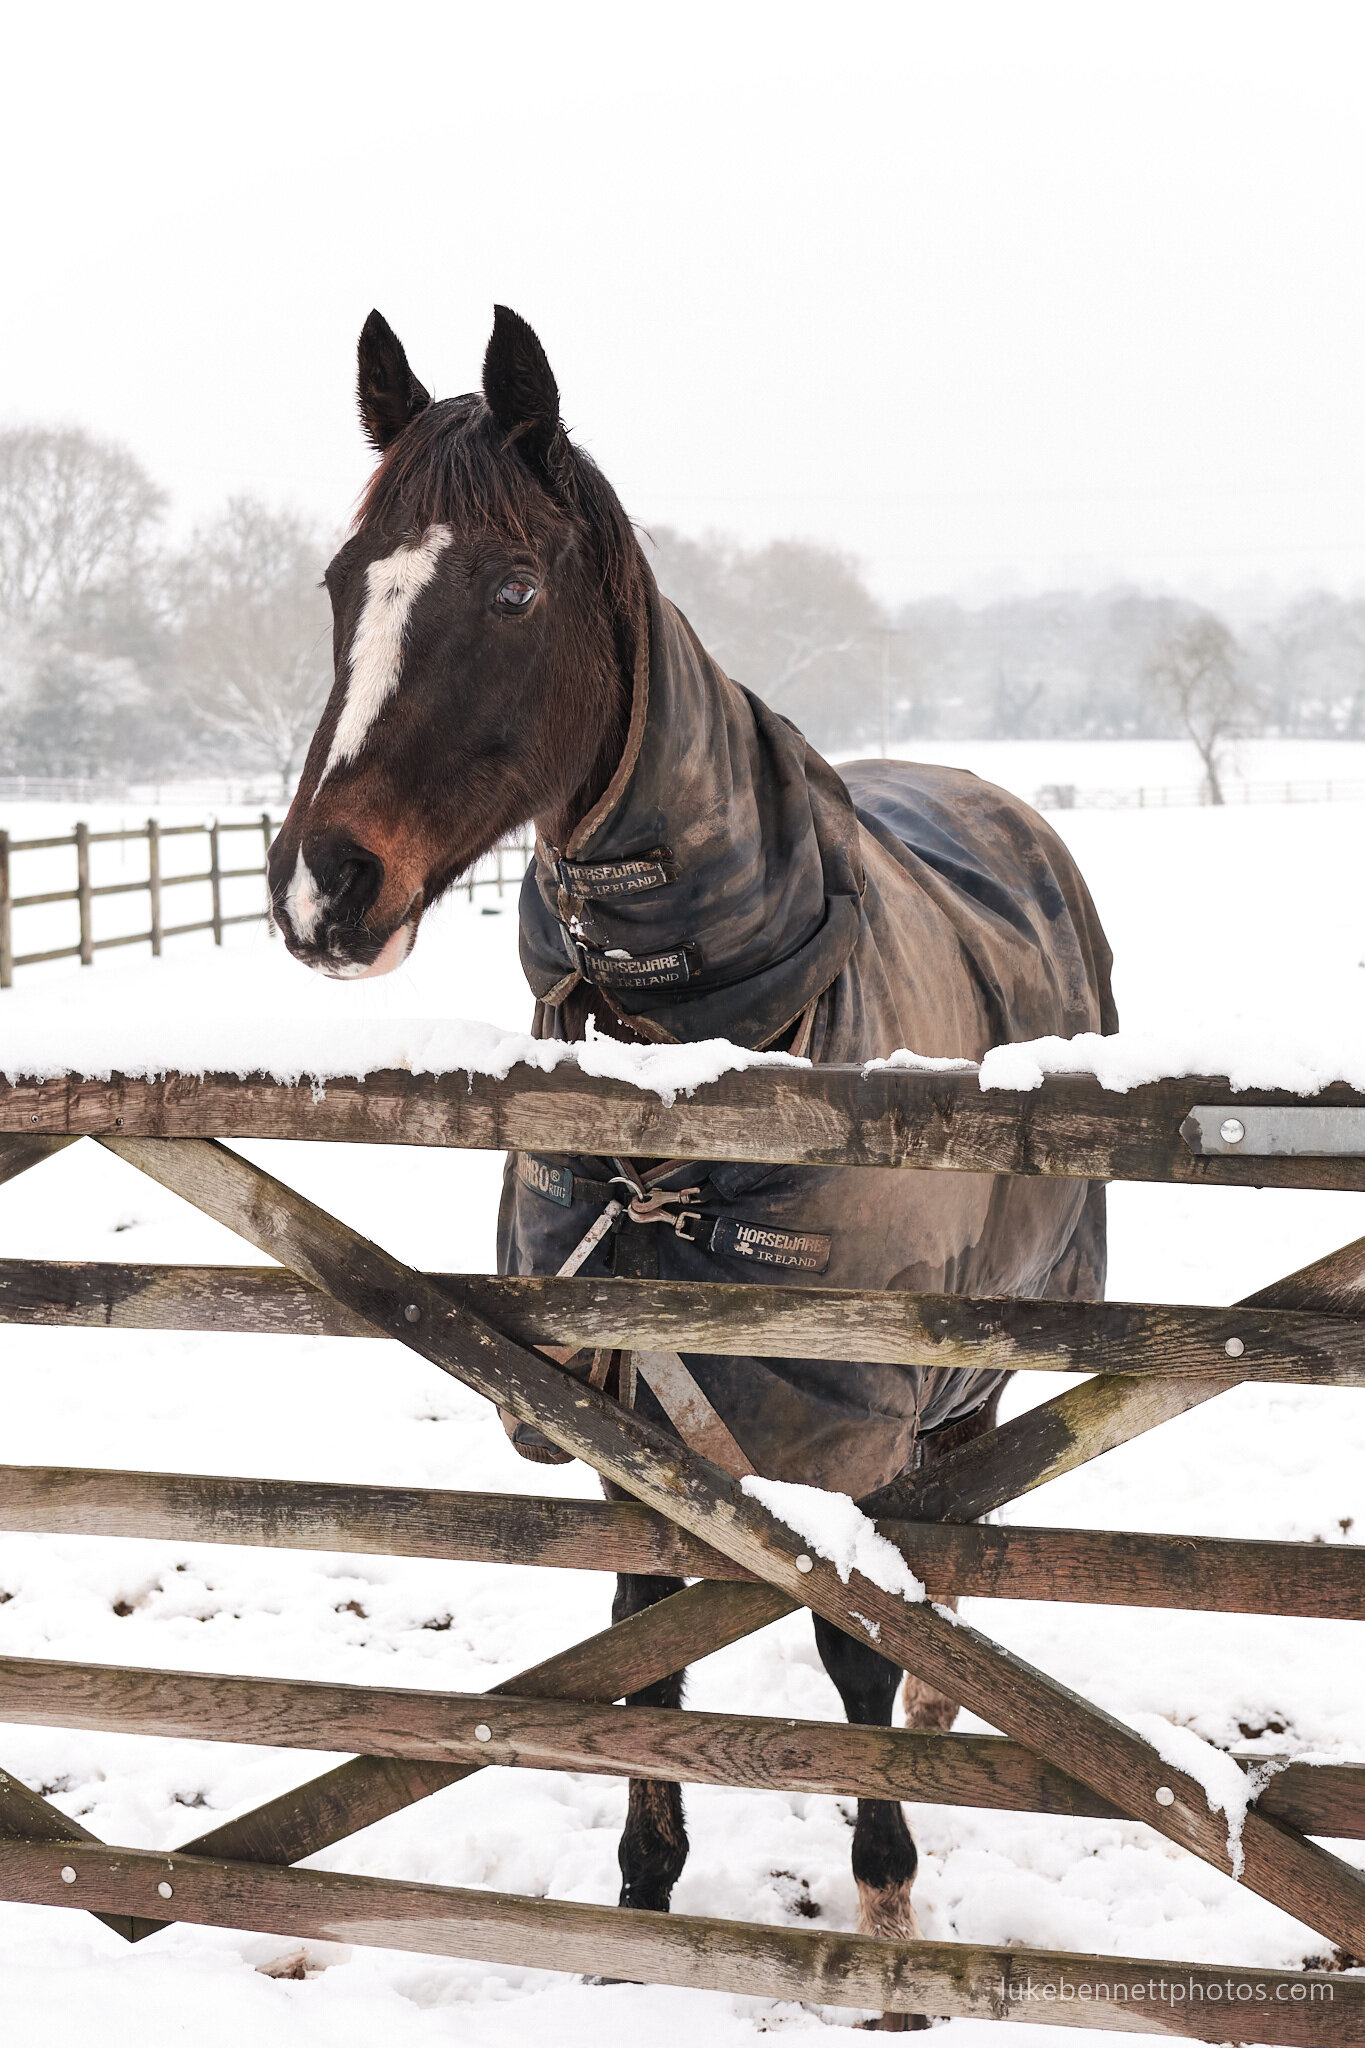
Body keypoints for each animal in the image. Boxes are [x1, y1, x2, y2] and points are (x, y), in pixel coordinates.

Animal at [270, 303, 1121, 2015]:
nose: (324, 888)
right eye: (344, 583)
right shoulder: (620, 1416)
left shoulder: (851, 1434)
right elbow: (641, 1640)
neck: (695, 1093)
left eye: (512, 591)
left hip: (993, 1347)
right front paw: (644, 1897)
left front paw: (886, 1902)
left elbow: (859, 1645)